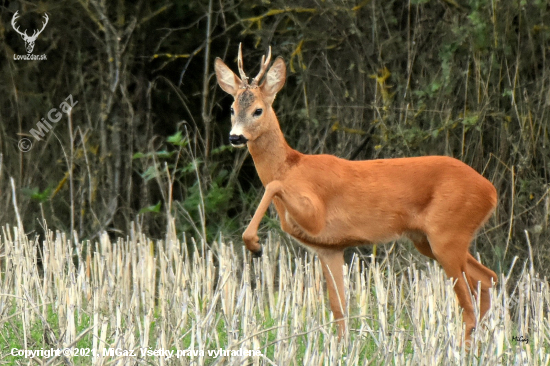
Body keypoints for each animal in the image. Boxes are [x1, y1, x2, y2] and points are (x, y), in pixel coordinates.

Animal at [215, 44, 500, 342]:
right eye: (232, 108)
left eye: (258, 110)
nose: (235, 137)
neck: (291, 166)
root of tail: (491, 191)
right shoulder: (328, 247)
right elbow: (339, 307)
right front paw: (341, 346)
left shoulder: (315, 215)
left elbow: (273, 185)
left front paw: (254, 244)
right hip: (428, 240)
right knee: (487, 278)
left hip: (447, 233)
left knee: (468, 304)